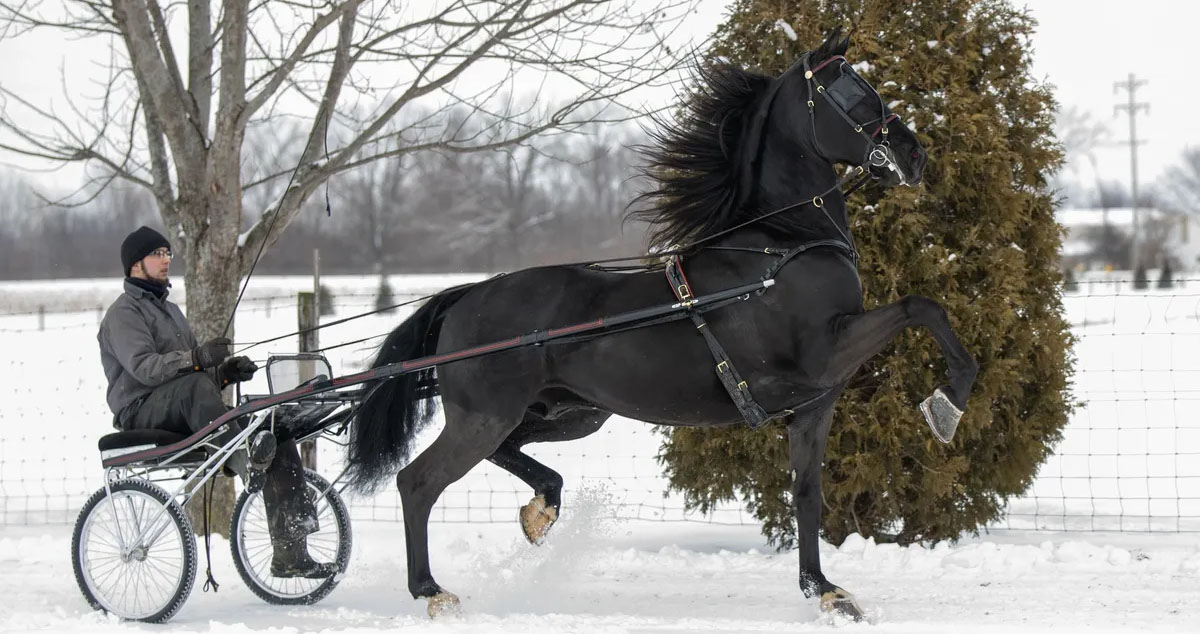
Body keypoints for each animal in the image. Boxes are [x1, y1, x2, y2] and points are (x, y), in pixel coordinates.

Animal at [345, 29, 974, 619]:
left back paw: (540, 511)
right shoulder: (825, 352)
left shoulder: (814, 403)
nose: (915, 155)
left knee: (511, 455)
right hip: (485, 417)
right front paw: (948, 403)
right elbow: (922, 307)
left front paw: (825, 591)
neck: (780, 247)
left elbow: (807, 495)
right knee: (418, 482)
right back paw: (432, 591)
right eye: (850, 89)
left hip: (571, 414)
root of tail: (464, 297)